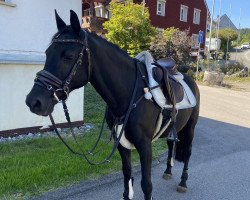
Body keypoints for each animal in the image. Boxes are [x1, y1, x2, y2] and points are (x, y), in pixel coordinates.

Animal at [25, 10, 199, 200]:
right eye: (47, 53)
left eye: (68, 56)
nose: (34, 101)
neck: (129, 95)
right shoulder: (121, 143)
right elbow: (127, 175)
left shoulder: (145, 146)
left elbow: (146, 184)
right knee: (171, 144)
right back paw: (168, 171)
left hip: (190, 128)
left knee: (188, 152)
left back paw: (183, 182)